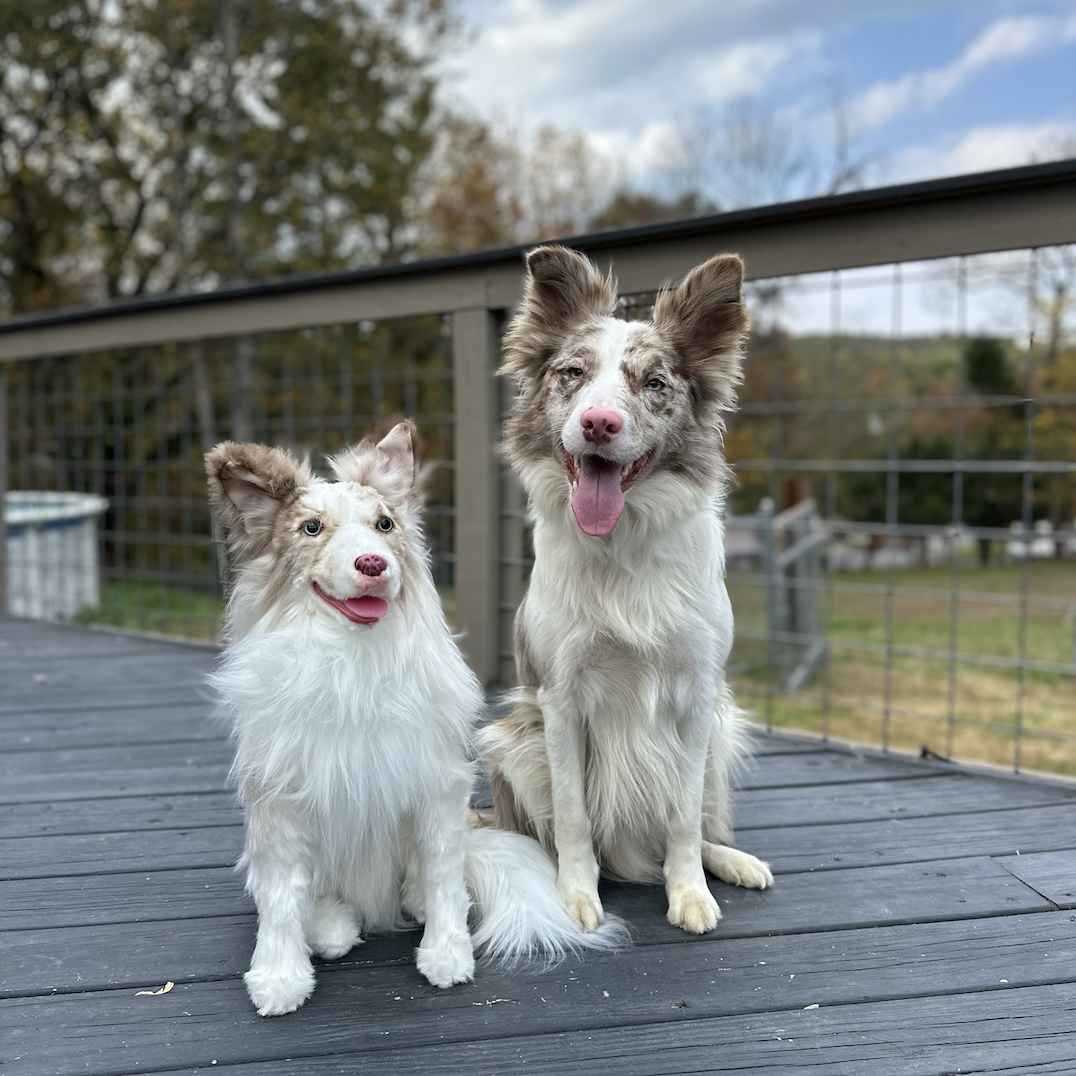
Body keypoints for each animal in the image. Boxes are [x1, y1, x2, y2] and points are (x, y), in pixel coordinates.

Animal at [205, 421, 619, 1015]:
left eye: (385, 525)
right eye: (311, 528)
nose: (374, 564)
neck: (353, 660)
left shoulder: (435, 785)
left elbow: (443, 875)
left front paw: (447, 955)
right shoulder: (280, 800)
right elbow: (281, 896)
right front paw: (279, 979)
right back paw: (330, 926)